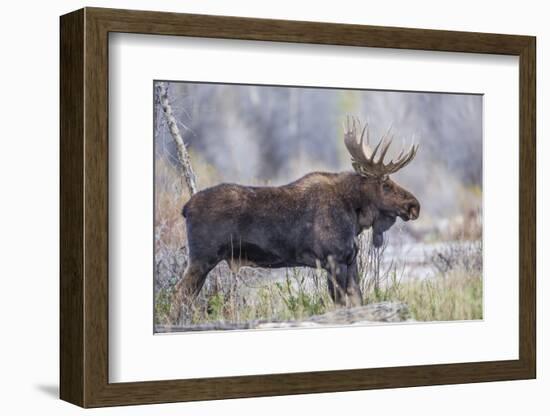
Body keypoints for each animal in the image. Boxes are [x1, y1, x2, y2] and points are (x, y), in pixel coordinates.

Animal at [172, 118, 422, 322]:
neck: (355, 213)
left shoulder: (350, 261)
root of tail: (185, 208)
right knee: (179, 294)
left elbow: (358, 302)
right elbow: (341, 306)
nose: (414, 205)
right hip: (202, 258)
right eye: (386, 185)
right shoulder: (333, 259)